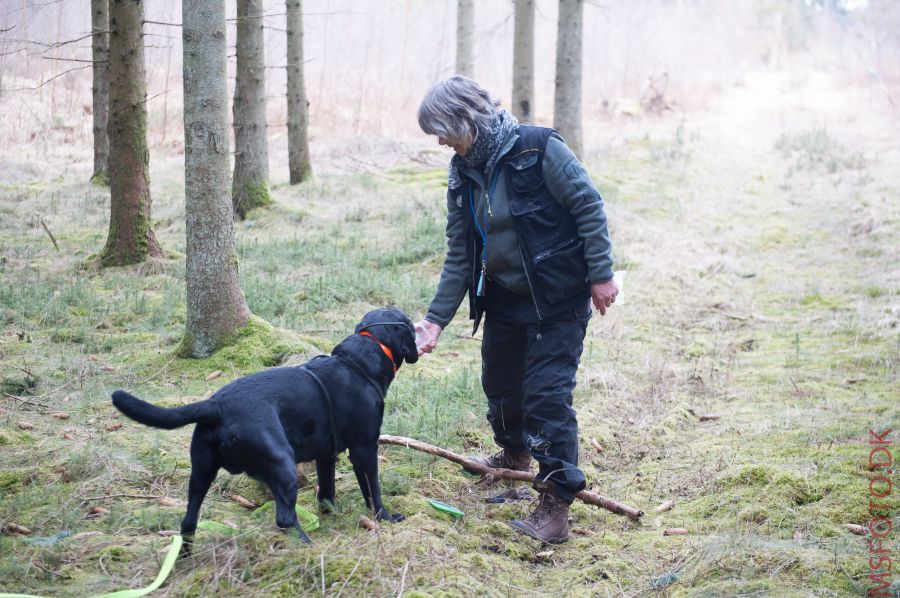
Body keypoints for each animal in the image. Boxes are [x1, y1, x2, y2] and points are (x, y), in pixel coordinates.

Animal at [110, 310, 416, 552]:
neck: (358, 362)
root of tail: (216, 405)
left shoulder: (326, 456)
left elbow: (326, 493)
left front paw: (331, 517)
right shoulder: (365, 449)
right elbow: (372, 491)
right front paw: (386, 517)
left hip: (201, 473)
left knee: (188, 522)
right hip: (283, 465)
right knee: (284, 517)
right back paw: (306, 546)